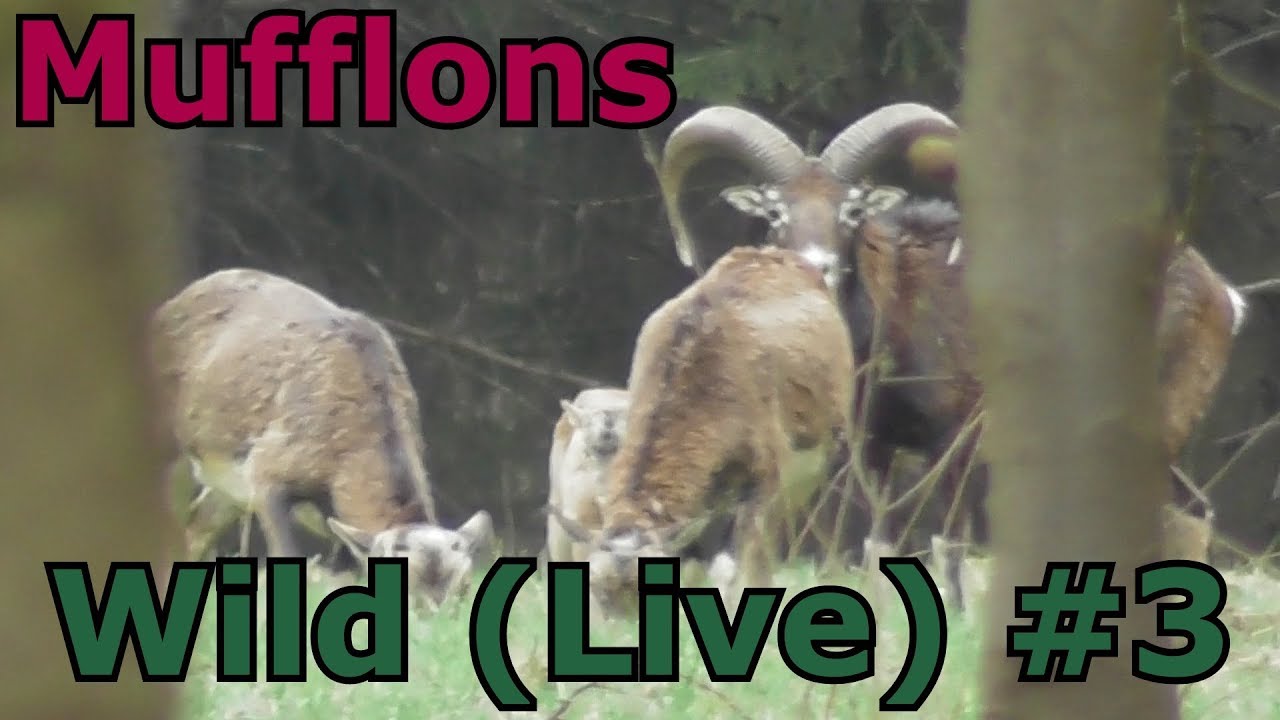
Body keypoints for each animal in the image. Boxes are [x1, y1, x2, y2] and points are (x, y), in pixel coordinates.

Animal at [655, 103, 1249, 609]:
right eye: (776, 210)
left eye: (851, 209)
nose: (816, 264)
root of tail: (1220, 294)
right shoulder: (876, 451)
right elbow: (881, 545)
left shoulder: (957, 442)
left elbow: (951, 546)